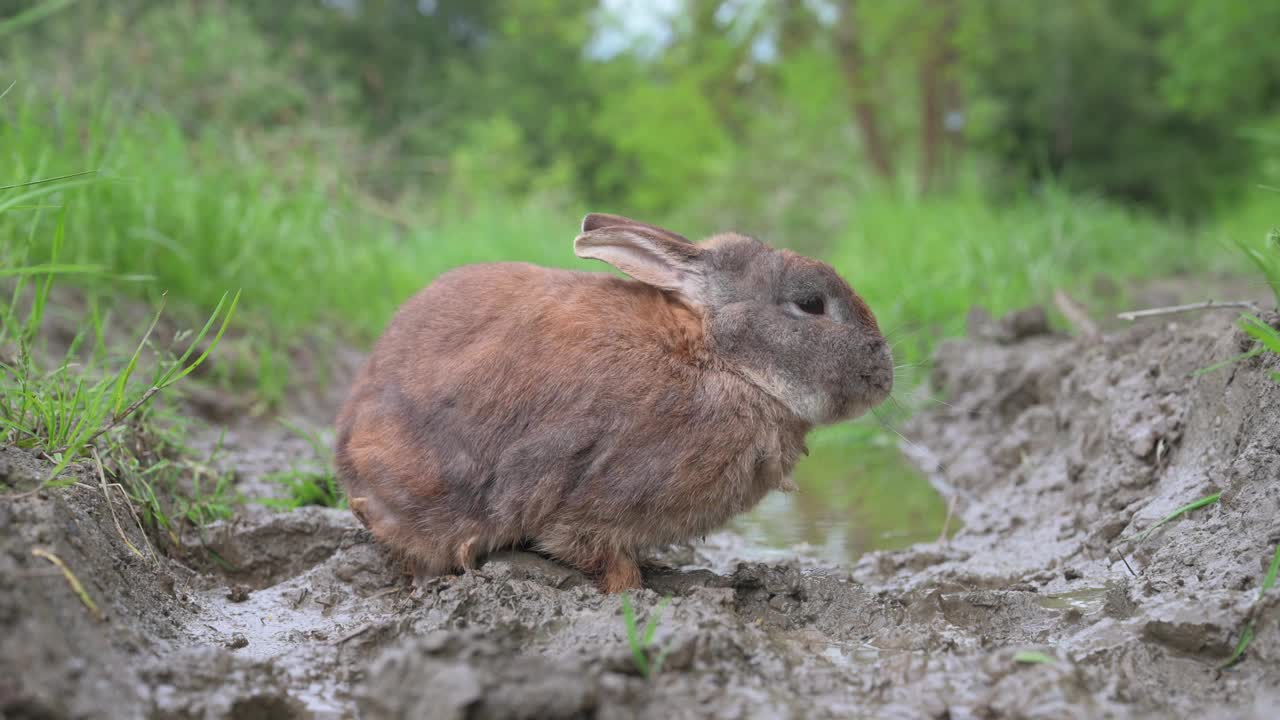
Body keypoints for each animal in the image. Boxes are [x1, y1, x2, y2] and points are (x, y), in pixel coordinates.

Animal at [335, 211, 896, 589]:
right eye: (811, 304)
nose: (885, 376)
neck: (718, 357)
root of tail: (347, 452)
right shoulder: (591, 504)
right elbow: (595, 551)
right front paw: (634, 591)